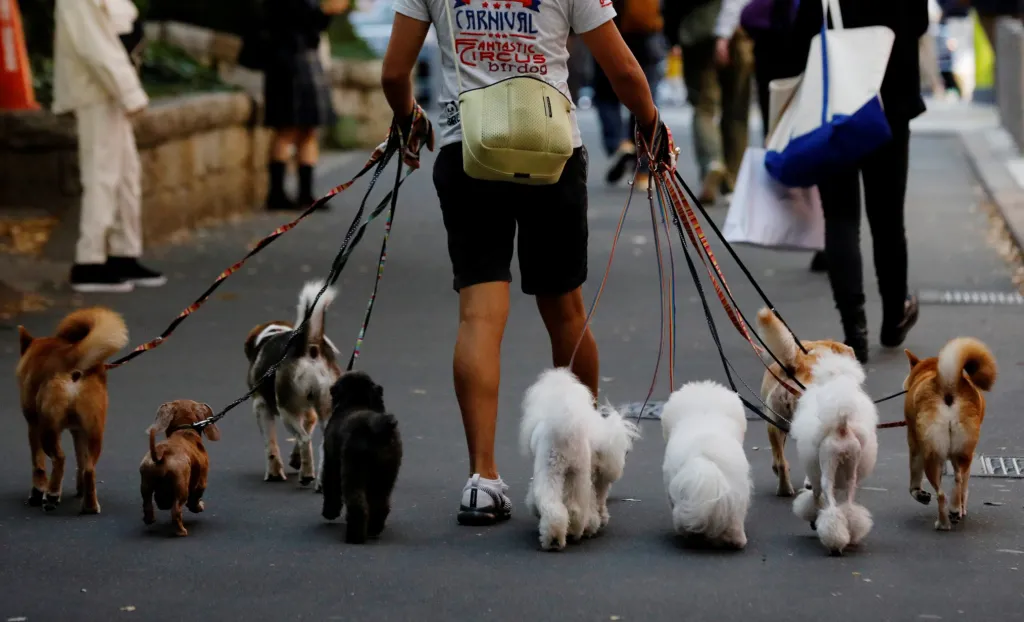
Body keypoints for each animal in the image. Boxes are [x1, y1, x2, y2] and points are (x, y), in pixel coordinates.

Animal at [520, 366, 638, 553]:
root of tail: (565, 431)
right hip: (576, 472)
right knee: (574, 507)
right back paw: (570, 532)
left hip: (554, 472)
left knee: (558, 506)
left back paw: (559, 537)